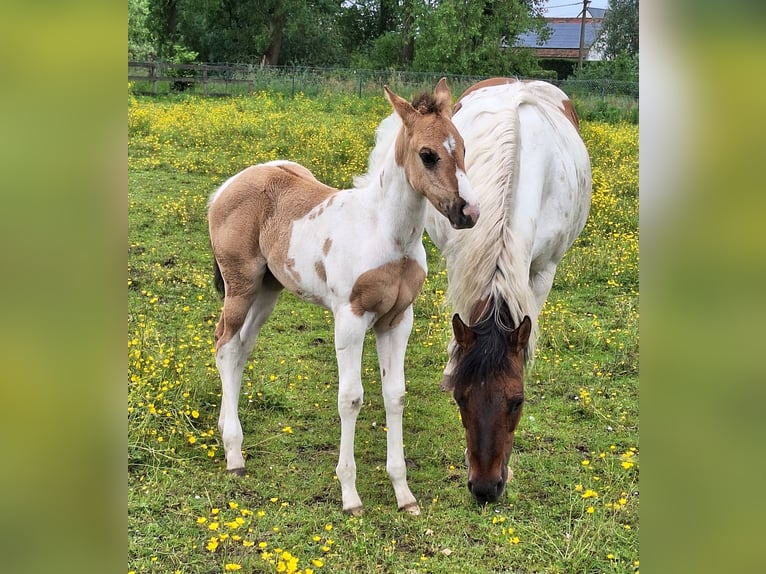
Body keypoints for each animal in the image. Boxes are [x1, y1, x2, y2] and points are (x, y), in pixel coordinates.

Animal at [210, 80, 480, 516]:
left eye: (464, 148)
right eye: (427, 155)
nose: (469, 213)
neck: (387, 233)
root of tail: (227, 186)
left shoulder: (397, 321)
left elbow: (395, 396)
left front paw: (403, 494)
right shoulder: (350, 318)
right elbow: (351, 399)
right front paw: (350, 495)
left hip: (268, 290)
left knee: (242, 347)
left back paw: (226, 428)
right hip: (241, 285)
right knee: (224, 344)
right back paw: (234, 453)